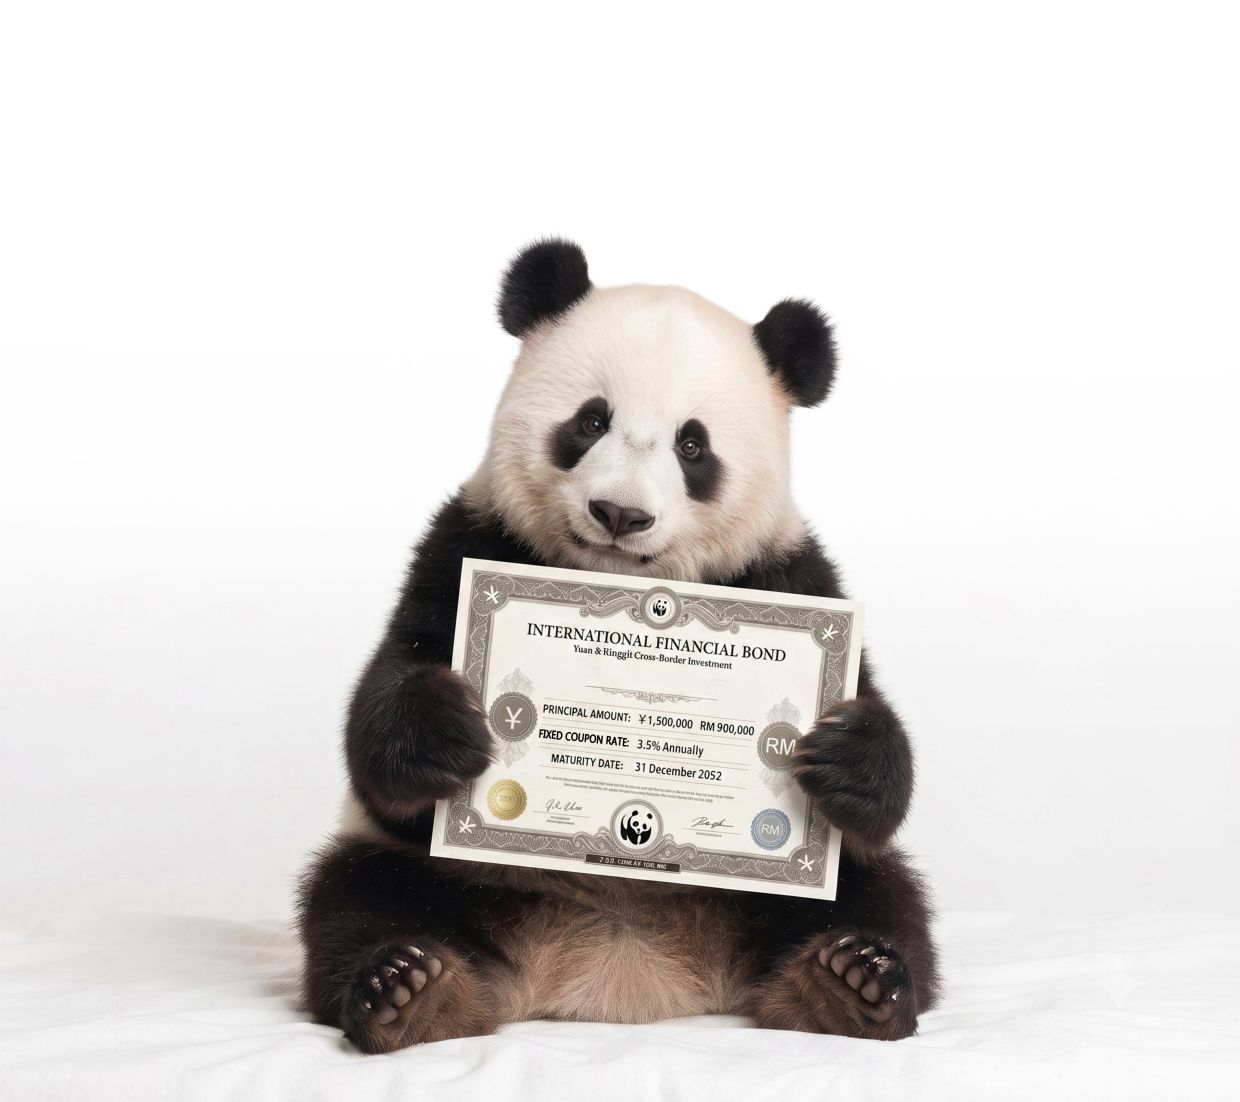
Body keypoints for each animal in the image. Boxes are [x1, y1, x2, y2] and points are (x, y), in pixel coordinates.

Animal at [297, 240, 940, 1052]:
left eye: (693, 445)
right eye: (590, 420)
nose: (620, 514)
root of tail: (623, 962)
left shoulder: (794, 572)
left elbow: (876, 779)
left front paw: (841, 753)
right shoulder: (466, 541)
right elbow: (386, 717)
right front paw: (448, 728)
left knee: (879, 896)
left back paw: (848, 983)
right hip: (444, 880)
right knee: (356, 899)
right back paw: (412, 990)